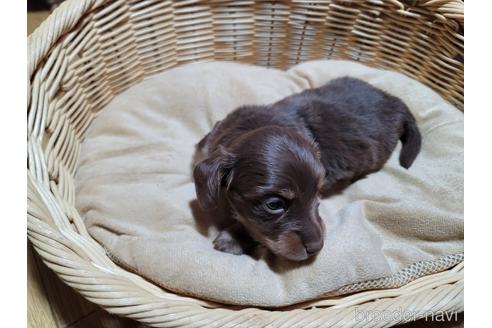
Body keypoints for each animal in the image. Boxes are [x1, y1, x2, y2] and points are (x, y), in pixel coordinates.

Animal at [191, 77, 418, 262]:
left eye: (318, 193)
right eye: (274, 204)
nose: (317, 247)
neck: (249, 127)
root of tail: (394, 100)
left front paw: (233, 238)